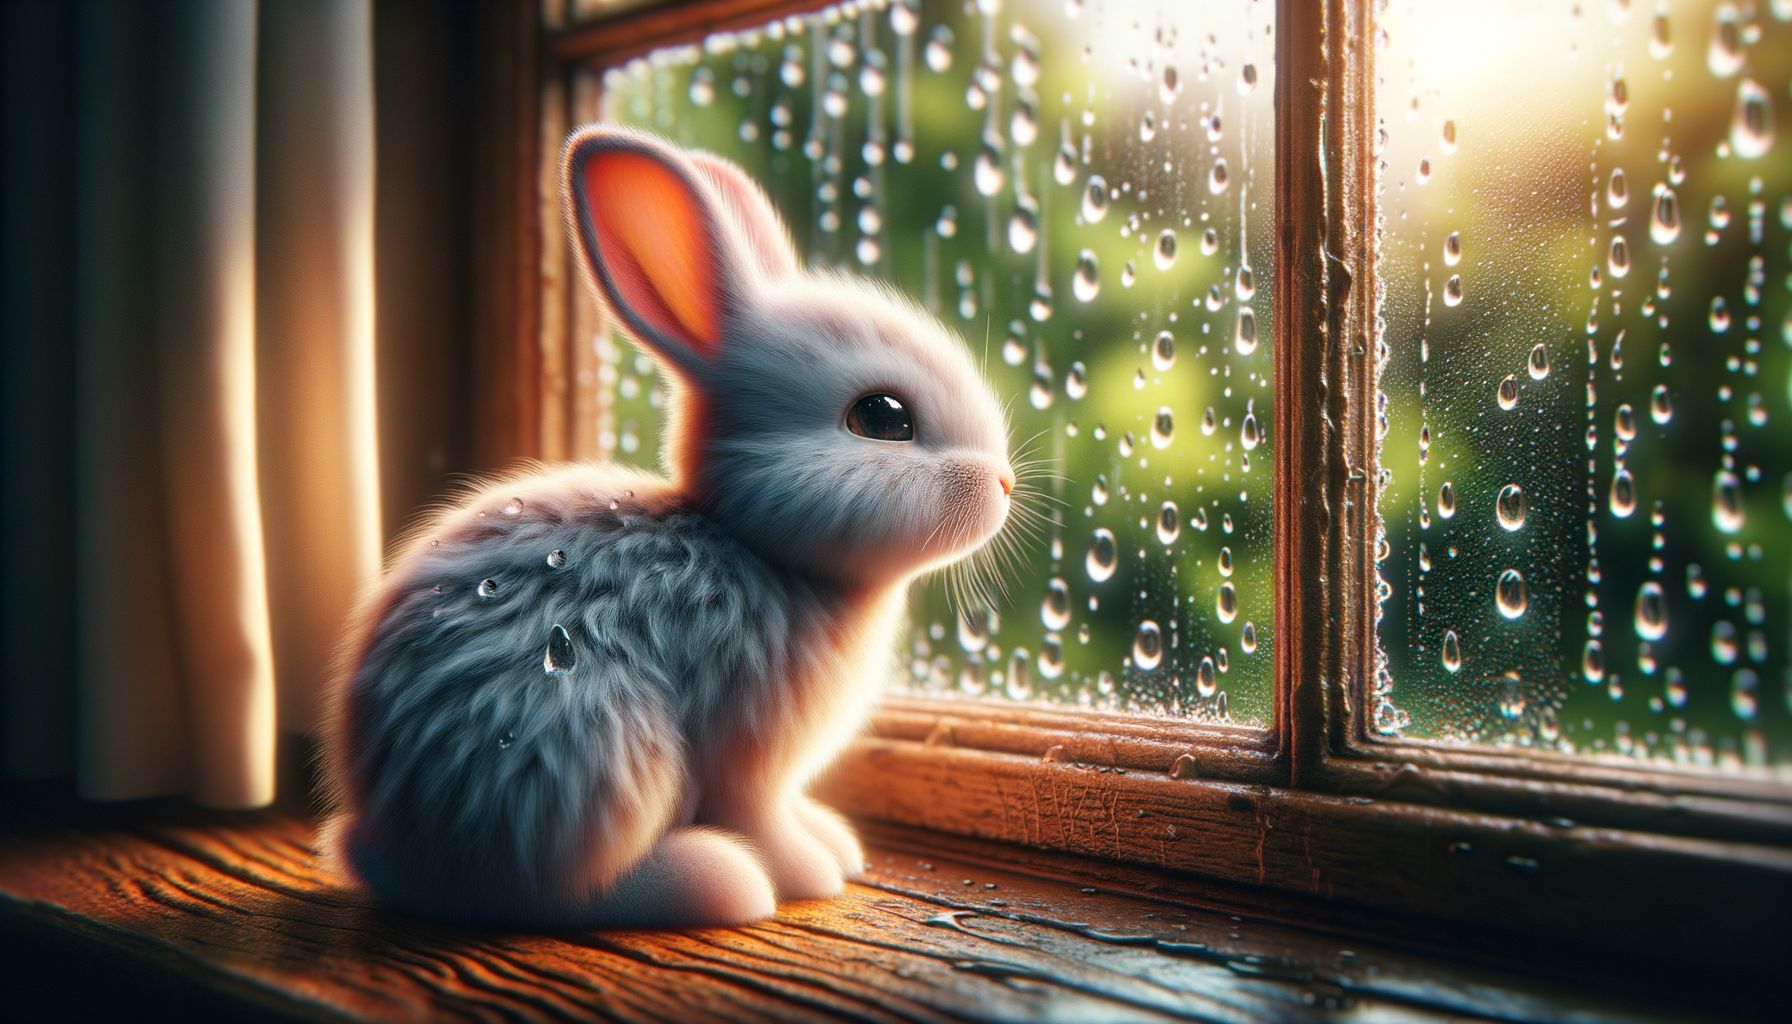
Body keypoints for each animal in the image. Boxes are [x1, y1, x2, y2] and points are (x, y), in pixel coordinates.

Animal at [317, 124, 1016, 930]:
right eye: (882, 417)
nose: (1004, 483)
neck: (763, 548)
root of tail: (399, 850)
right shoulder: (750, 755)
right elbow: (760, 817)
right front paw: (809, 870)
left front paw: (834, 847)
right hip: (603, 753)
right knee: (561, 892)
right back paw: (717, 879)